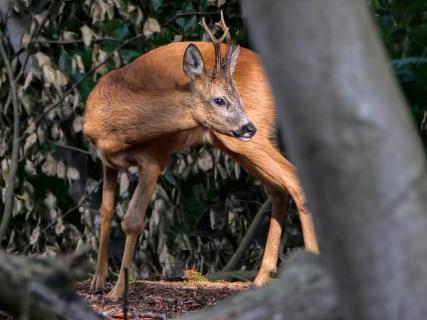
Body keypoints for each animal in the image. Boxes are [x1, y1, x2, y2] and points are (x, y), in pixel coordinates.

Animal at [83, 10, 318, 300]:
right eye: (219, 100)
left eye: (235, 97)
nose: (247, 126)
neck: (111, 121)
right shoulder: (107, 162)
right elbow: (104, 212)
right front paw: (97, 281)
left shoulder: (154, 158)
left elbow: (132, 221)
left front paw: (117, 291)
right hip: (232, 141)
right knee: (277, 188)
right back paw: (261, 277)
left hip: (248, 137)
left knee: (293, 179)